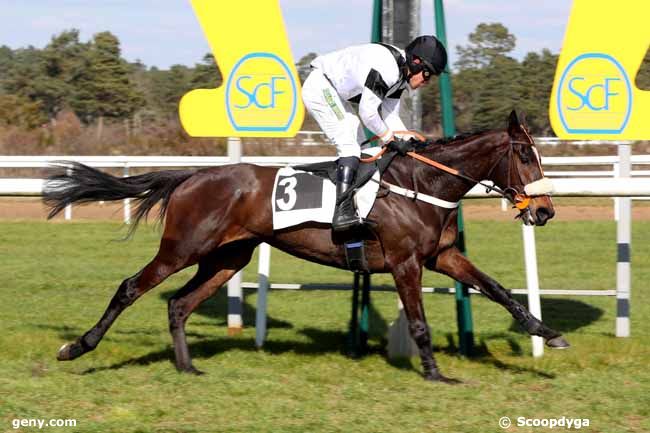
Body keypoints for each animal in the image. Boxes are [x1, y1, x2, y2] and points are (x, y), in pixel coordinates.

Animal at [44, 111, 568, 382]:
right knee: (130, 287)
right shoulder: (405, 263)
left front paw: (547, 332)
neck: (422, 184)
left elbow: (497, 289)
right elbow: (418, 323)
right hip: (182, 249)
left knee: (179, 304)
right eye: (525, 154)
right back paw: (76, 348)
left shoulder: (442, 257)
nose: (544, 211)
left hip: (227, 257)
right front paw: (436, 373)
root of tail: (192, 175)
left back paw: (188, 366)